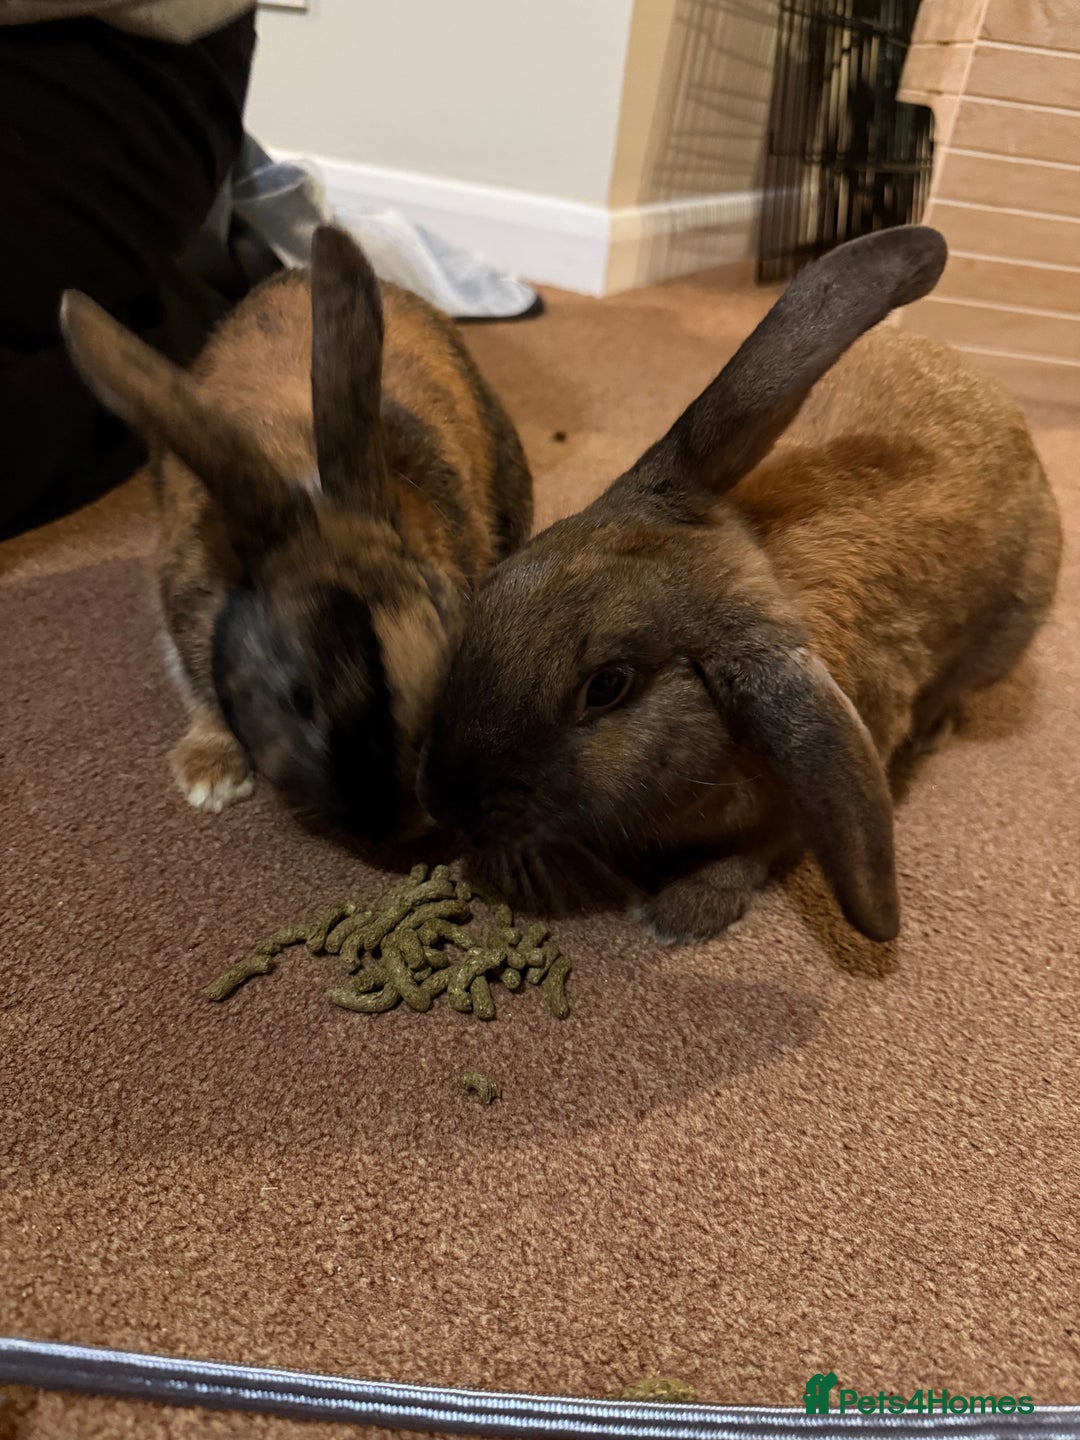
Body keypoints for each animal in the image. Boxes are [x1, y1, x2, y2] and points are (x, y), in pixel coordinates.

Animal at [419, 225, 1062, 944]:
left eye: (607, 687)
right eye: (498, 582)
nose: (443, 799)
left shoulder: (793, 803)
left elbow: (752, 854)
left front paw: (682, 912)